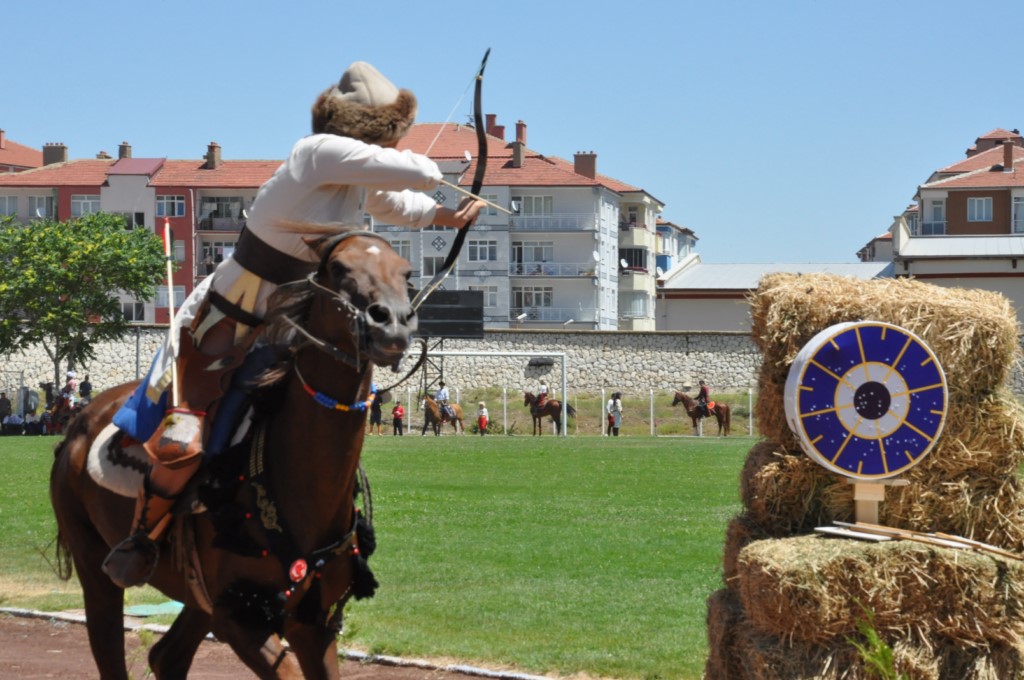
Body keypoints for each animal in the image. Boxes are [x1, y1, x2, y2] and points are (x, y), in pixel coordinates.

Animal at [48, 229, 415, 680]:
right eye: (338, 268)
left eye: (406, 272)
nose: (392, 323)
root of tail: (79, 423)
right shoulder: (241, 618)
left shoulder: (311, 622)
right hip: (95, 568)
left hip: (196, 594)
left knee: (166, 655)